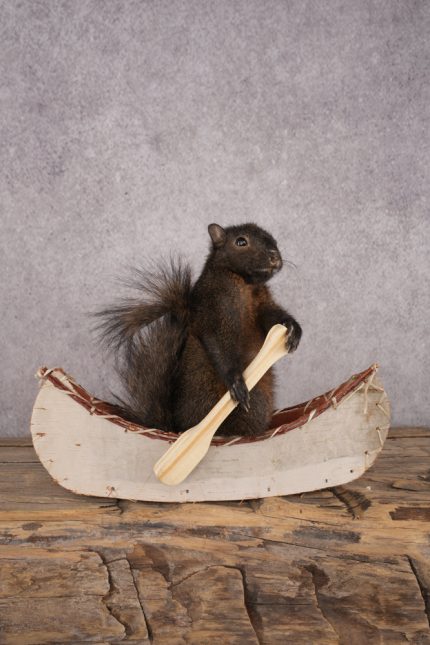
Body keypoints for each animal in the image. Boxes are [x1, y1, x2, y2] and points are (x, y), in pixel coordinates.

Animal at [96, 223, 302, 437]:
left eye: (275, 241)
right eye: (241, 241)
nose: (274, 256)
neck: (244, 283)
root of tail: (177, 428)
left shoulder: (262, 303)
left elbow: (272, 317)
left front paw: (293, 329)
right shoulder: (213, 311)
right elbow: (217, 345)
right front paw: (236, 382)